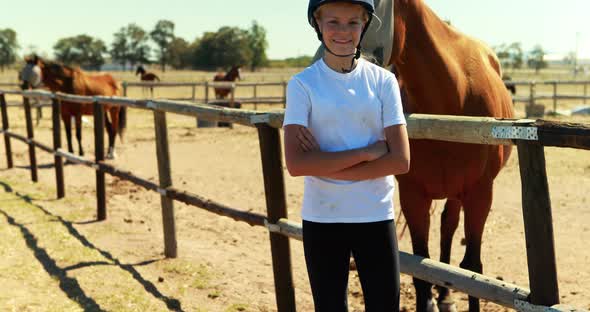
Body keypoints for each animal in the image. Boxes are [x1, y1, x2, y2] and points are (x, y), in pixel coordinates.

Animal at [390, 1, 516, 310]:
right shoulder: (413, 195)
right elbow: (420, 267)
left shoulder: (479, 195)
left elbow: (472, 268)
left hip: (459, 193)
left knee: (448, 227)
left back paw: (446, 296)